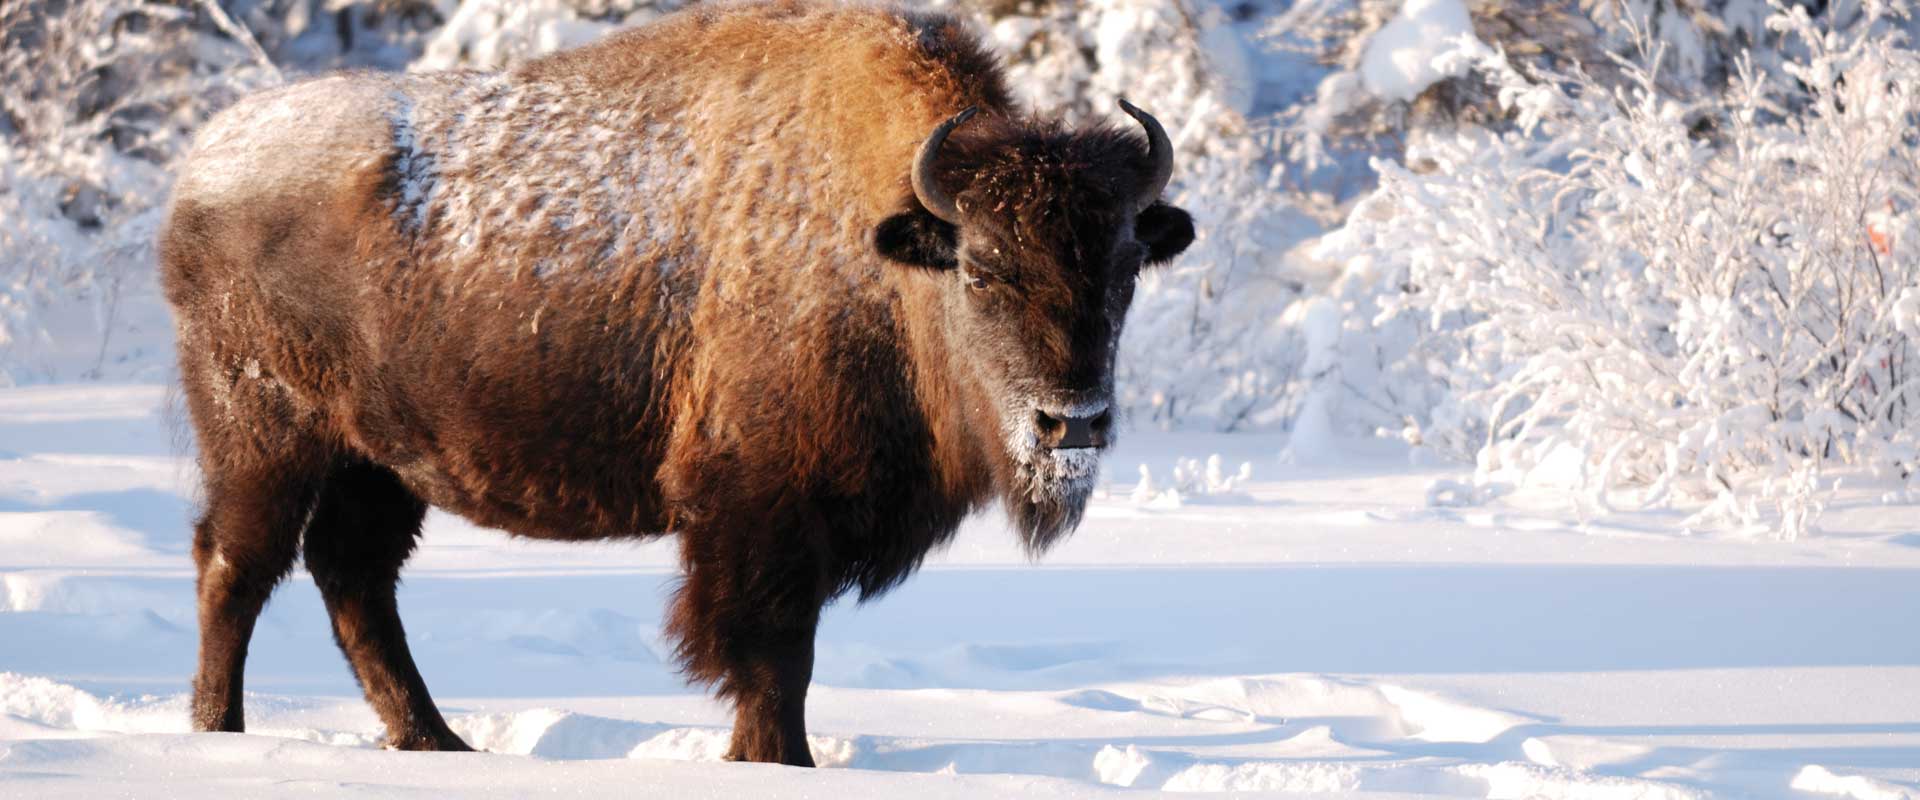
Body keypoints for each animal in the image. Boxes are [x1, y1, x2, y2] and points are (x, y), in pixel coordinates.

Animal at [161, 0, 1182, 759]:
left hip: (380, 463)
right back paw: (221, 735)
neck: (884, 245)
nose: (1071, 423)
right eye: (980, 268)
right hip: (266, 436)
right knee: (236, 568)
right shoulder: (759, 514)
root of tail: (199, 166)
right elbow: (773, 658)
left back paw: (436, 743)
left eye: (1127, 266)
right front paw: (776, 762)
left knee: (354, 581)